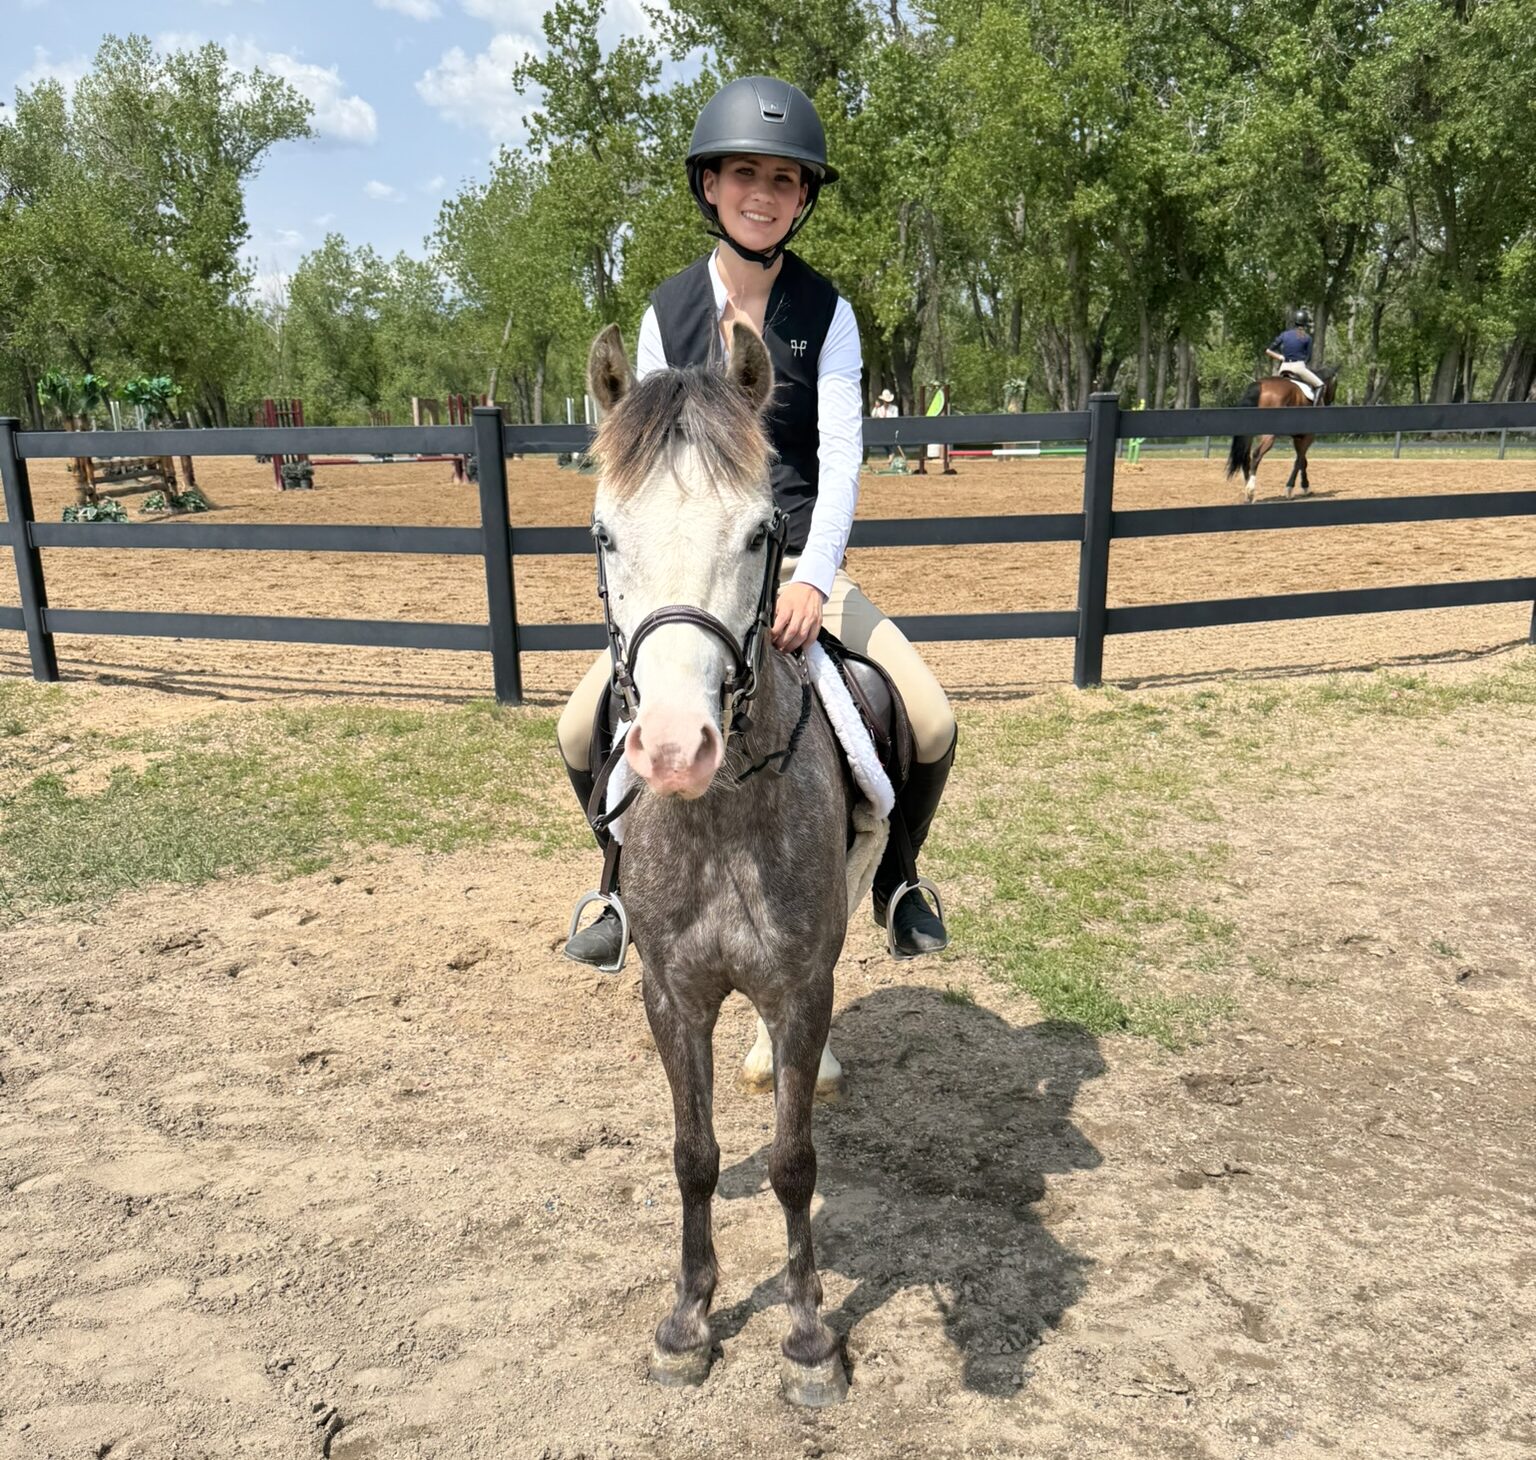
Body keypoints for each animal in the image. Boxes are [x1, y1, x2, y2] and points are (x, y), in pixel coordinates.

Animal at [583, 320, 865, 1407]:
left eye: (758, 534)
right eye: (605, 534)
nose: (671, 748)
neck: (726, 819)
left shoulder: (798, 985)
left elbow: (793, 1161)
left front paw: (810, 1334)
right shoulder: (672, 991)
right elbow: (695, 1156)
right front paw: (688, 1322)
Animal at [1225, 367, 1338, 504]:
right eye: (1336, 384)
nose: (1330, 402)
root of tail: (1260, 385)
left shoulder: (1298, 437)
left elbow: (1302, 461)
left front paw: (1305, 487)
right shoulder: (1308, 436)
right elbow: (1299, 461)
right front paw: (1290, 489)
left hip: (1249, 433)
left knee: (1245, 457)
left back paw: (1248, 494)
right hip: (1269, 435)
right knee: (1256, 454)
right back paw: (1251, 490)